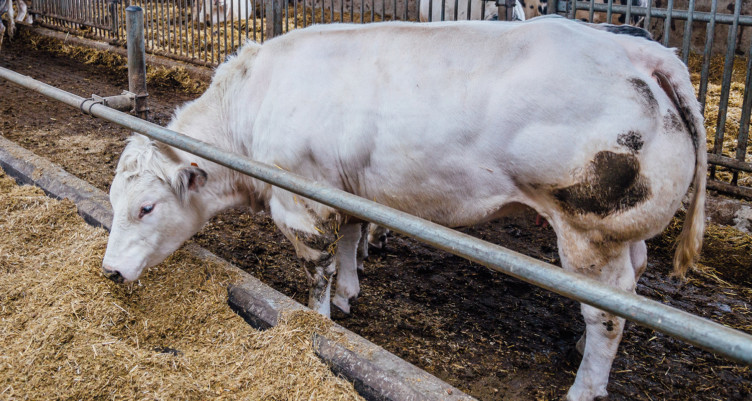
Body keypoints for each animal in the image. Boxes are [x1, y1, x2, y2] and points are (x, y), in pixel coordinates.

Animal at [102, 17, 706, 400]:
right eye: (114, 200)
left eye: (147, 207)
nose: (109, 271)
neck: (250, 110)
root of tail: (643, 53)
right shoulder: (346, 188)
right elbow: (349, 243)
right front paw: (348, 296)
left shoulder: (301, 202)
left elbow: (317, 267)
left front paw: (321, 320)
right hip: (622, 232)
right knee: (629, 286)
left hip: (589, 230)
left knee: (608, 311)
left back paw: (584, 386)